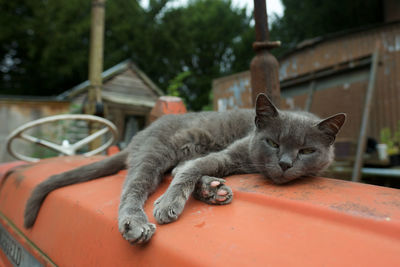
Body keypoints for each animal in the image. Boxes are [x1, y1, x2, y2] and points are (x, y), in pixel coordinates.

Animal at [23, 94, 346, 245]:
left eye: (306, 151)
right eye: (273, 143)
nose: (285, 164)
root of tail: (142, 133)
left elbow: (186, 170)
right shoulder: (231, 153)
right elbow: (188, 171)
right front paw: (168, 203)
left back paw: (213, 190)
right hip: (156, 153)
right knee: (134, 188)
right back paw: (136, 222)